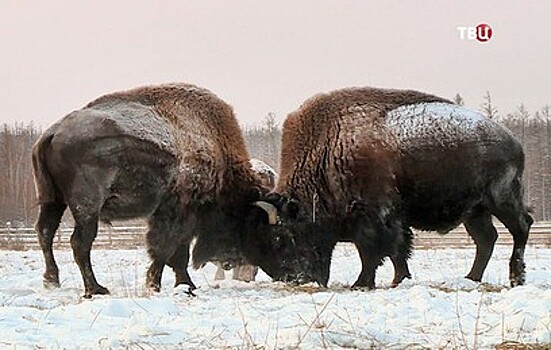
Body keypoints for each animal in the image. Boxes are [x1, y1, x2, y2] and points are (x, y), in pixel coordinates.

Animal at [31, 82, 314, 298]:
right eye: (274, 235)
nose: (293, 275)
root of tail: (51, 134)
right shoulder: (180, 211)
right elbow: (169, 249)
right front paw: (162, 284)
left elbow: (177, 251)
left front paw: (182, 284)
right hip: (87, 207)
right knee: (80, 242)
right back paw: (96, 289)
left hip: (52, 200)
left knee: (45, 232)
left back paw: (52, 280)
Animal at [264, 86, 536, 288]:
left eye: (284, 235)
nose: (295, 279)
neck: (330, 150)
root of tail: (513, 142)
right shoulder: (395, 220)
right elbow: (398, 250)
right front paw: (399, 279)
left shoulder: (374, 218)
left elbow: (372, 252)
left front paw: (361, 283)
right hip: (475, 211)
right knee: (486, 239)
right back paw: (471, 278)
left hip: (501, 199)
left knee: (520, 227)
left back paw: (515, 278)